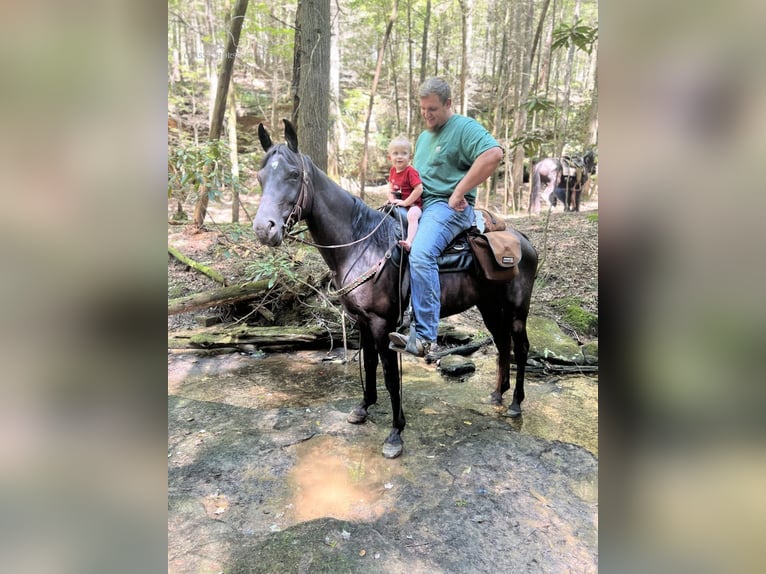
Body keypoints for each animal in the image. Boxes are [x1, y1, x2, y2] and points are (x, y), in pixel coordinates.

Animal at [254, 120, 540, 460]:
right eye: (260, 177)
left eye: (293, 175)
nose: (264, 229)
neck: (361, 243)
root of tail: (523, 240)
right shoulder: (362, 321)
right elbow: (368, 364)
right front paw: (363, 408)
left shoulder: (383, 323)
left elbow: (390, 376)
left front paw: (395, 433)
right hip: (489, 307)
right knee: (502, 344)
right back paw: (498, 394)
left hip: (517, 310)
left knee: (520, 348)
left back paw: (516, 404)